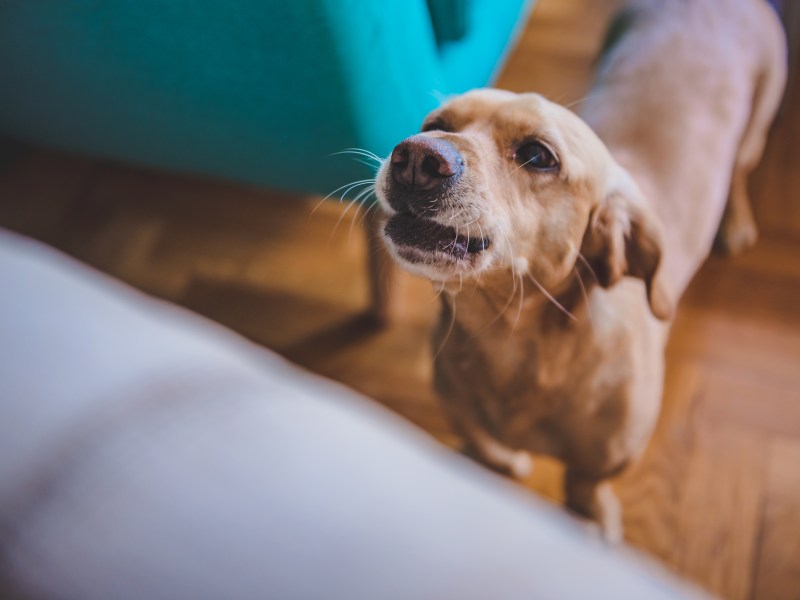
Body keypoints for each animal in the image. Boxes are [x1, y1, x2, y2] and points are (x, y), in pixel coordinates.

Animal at [372, 0, 784, 540]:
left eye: (537, 155)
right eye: (434, 122)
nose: (416, 156)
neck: (510, 341)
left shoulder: (605, 462)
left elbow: (586, 487)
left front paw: (595, 522)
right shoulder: (463, 415)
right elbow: (486, 447)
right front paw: (498, 464)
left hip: (758, 124)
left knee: (739, 168)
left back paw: (734, 222)